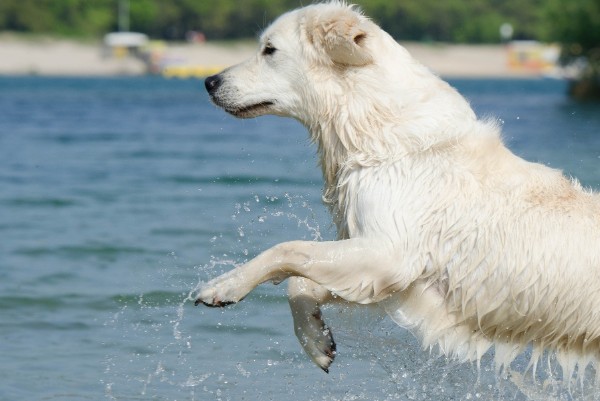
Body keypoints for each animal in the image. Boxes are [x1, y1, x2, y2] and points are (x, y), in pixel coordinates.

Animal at [196, 1, 600, 380]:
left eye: (269, 50)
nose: (209, 82)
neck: (371, 123)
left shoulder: (390, 251)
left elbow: (287, 249)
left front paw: (223, 286)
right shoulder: (395, 276)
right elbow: (300, 281)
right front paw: (316, 339)